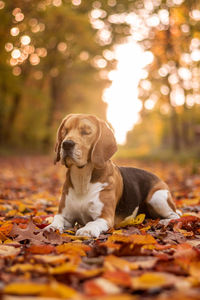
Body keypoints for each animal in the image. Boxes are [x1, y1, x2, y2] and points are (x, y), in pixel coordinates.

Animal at [45, 113, 181, 237]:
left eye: (86, 132)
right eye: (65, 131)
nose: (66, 144)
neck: (82, 177)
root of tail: (158, 177)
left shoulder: (105, 218)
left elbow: (91, 223)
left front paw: (86, 230)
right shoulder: (64, 215)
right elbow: (57, 219)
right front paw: (52, 227)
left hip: (157, 197)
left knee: (175, 215)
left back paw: (165, 221)